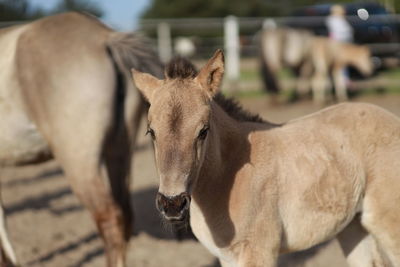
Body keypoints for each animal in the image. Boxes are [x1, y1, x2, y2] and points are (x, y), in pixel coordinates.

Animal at [133, 50, 400, 267]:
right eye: (151, 132)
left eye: (203, 131)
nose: (172, 204)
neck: (228, 177)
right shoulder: (227, 257)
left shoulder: (259, 252)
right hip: (353, 225)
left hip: (388, 223)